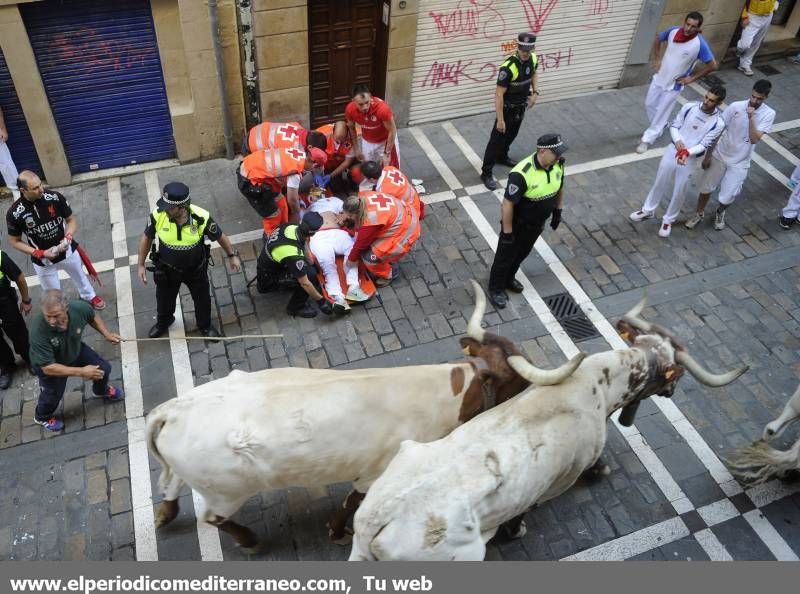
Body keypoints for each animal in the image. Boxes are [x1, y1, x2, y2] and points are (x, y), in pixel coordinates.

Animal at [144, 280, 580, 548]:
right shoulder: (376, 472)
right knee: (211, 516)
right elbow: (351, 501)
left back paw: (167, 512)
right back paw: (249, 541)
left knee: (171, 483)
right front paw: (336, 531)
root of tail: (174, 408)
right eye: (516, 379)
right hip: (228, 492)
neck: (449, 391)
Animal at [350, 300, 752, 560]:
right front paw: (517, 530)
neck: (599, 387)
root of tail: (378, 518)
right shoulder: (564, 476)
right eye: (674, 374)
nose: (671, 392)